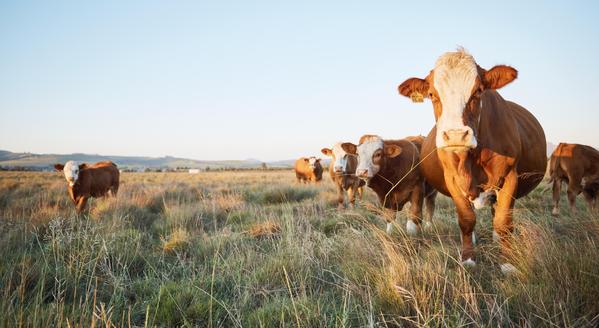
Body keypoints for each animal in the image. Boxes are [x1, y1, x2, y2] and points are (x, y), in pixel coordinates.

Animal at [398, 49, 548, 274]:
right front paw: (468, 258)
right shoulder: (453, 180)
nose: (455, 135)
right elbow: (467, 220)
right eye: (432, 94)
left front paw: (507, 263)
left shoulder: (510, 177)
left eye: (478, 91)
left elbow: (504, 222)